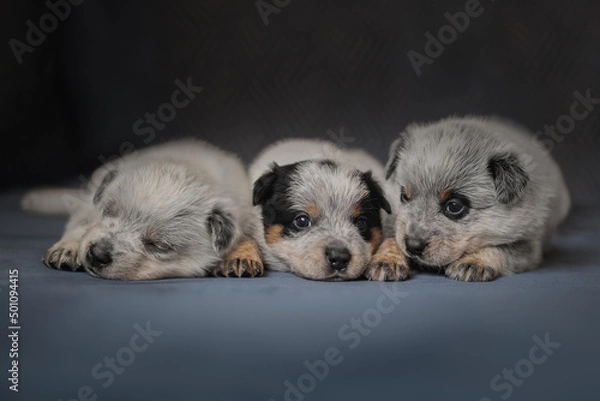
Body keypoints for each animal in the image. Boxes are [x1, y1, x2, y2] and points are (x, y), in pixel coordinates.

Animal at [22, 139, 262, 280]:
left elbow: (246, 238)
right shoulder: (89, 207)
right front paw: (67, 248)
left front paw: (240, 257)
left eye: (158, 245)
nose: (97, 254)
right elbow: (81, 224)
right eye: (108, 211)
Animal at [370, 115, 572, 282]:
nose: (413, 246)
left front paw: (474, 261)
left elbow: (500, 248)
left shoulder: (529, 245)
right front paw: (387, 259)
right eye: (404, 196)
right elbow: (392, 238)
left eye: (454, 206)